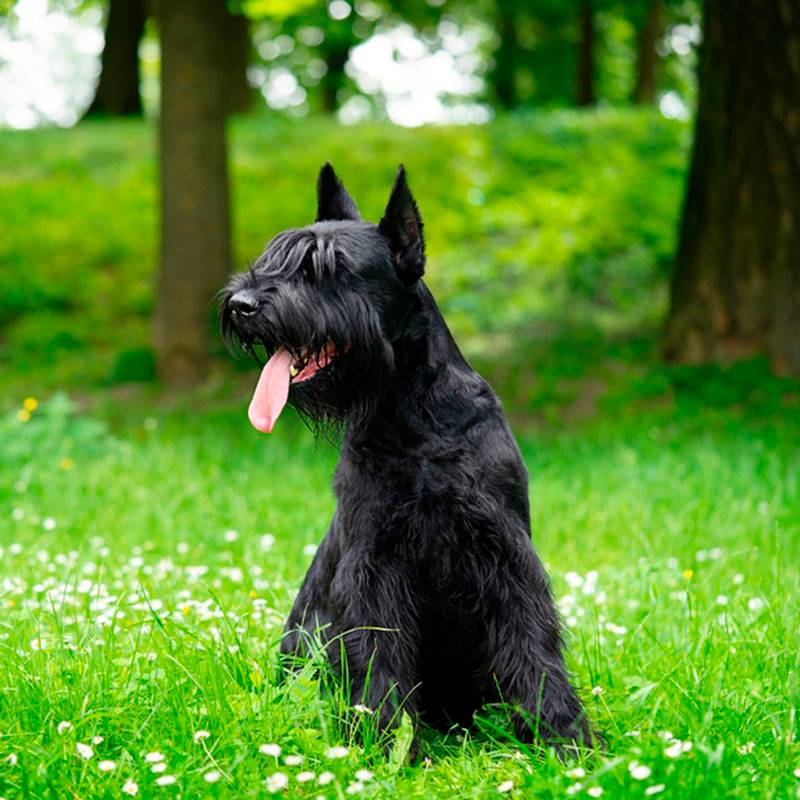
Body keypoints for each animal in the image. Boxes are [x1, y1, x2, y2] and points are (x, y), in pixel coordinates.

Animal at [222, 162, 592, 752]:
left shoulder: (505, 554)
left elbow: (531, 642)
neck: (411, 416)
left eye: (329, 268)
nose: (242, 305)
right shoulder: (375, 561)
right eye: (274, 257)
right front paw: (385, 741)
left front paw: (564, 738)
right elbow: (380, 653)